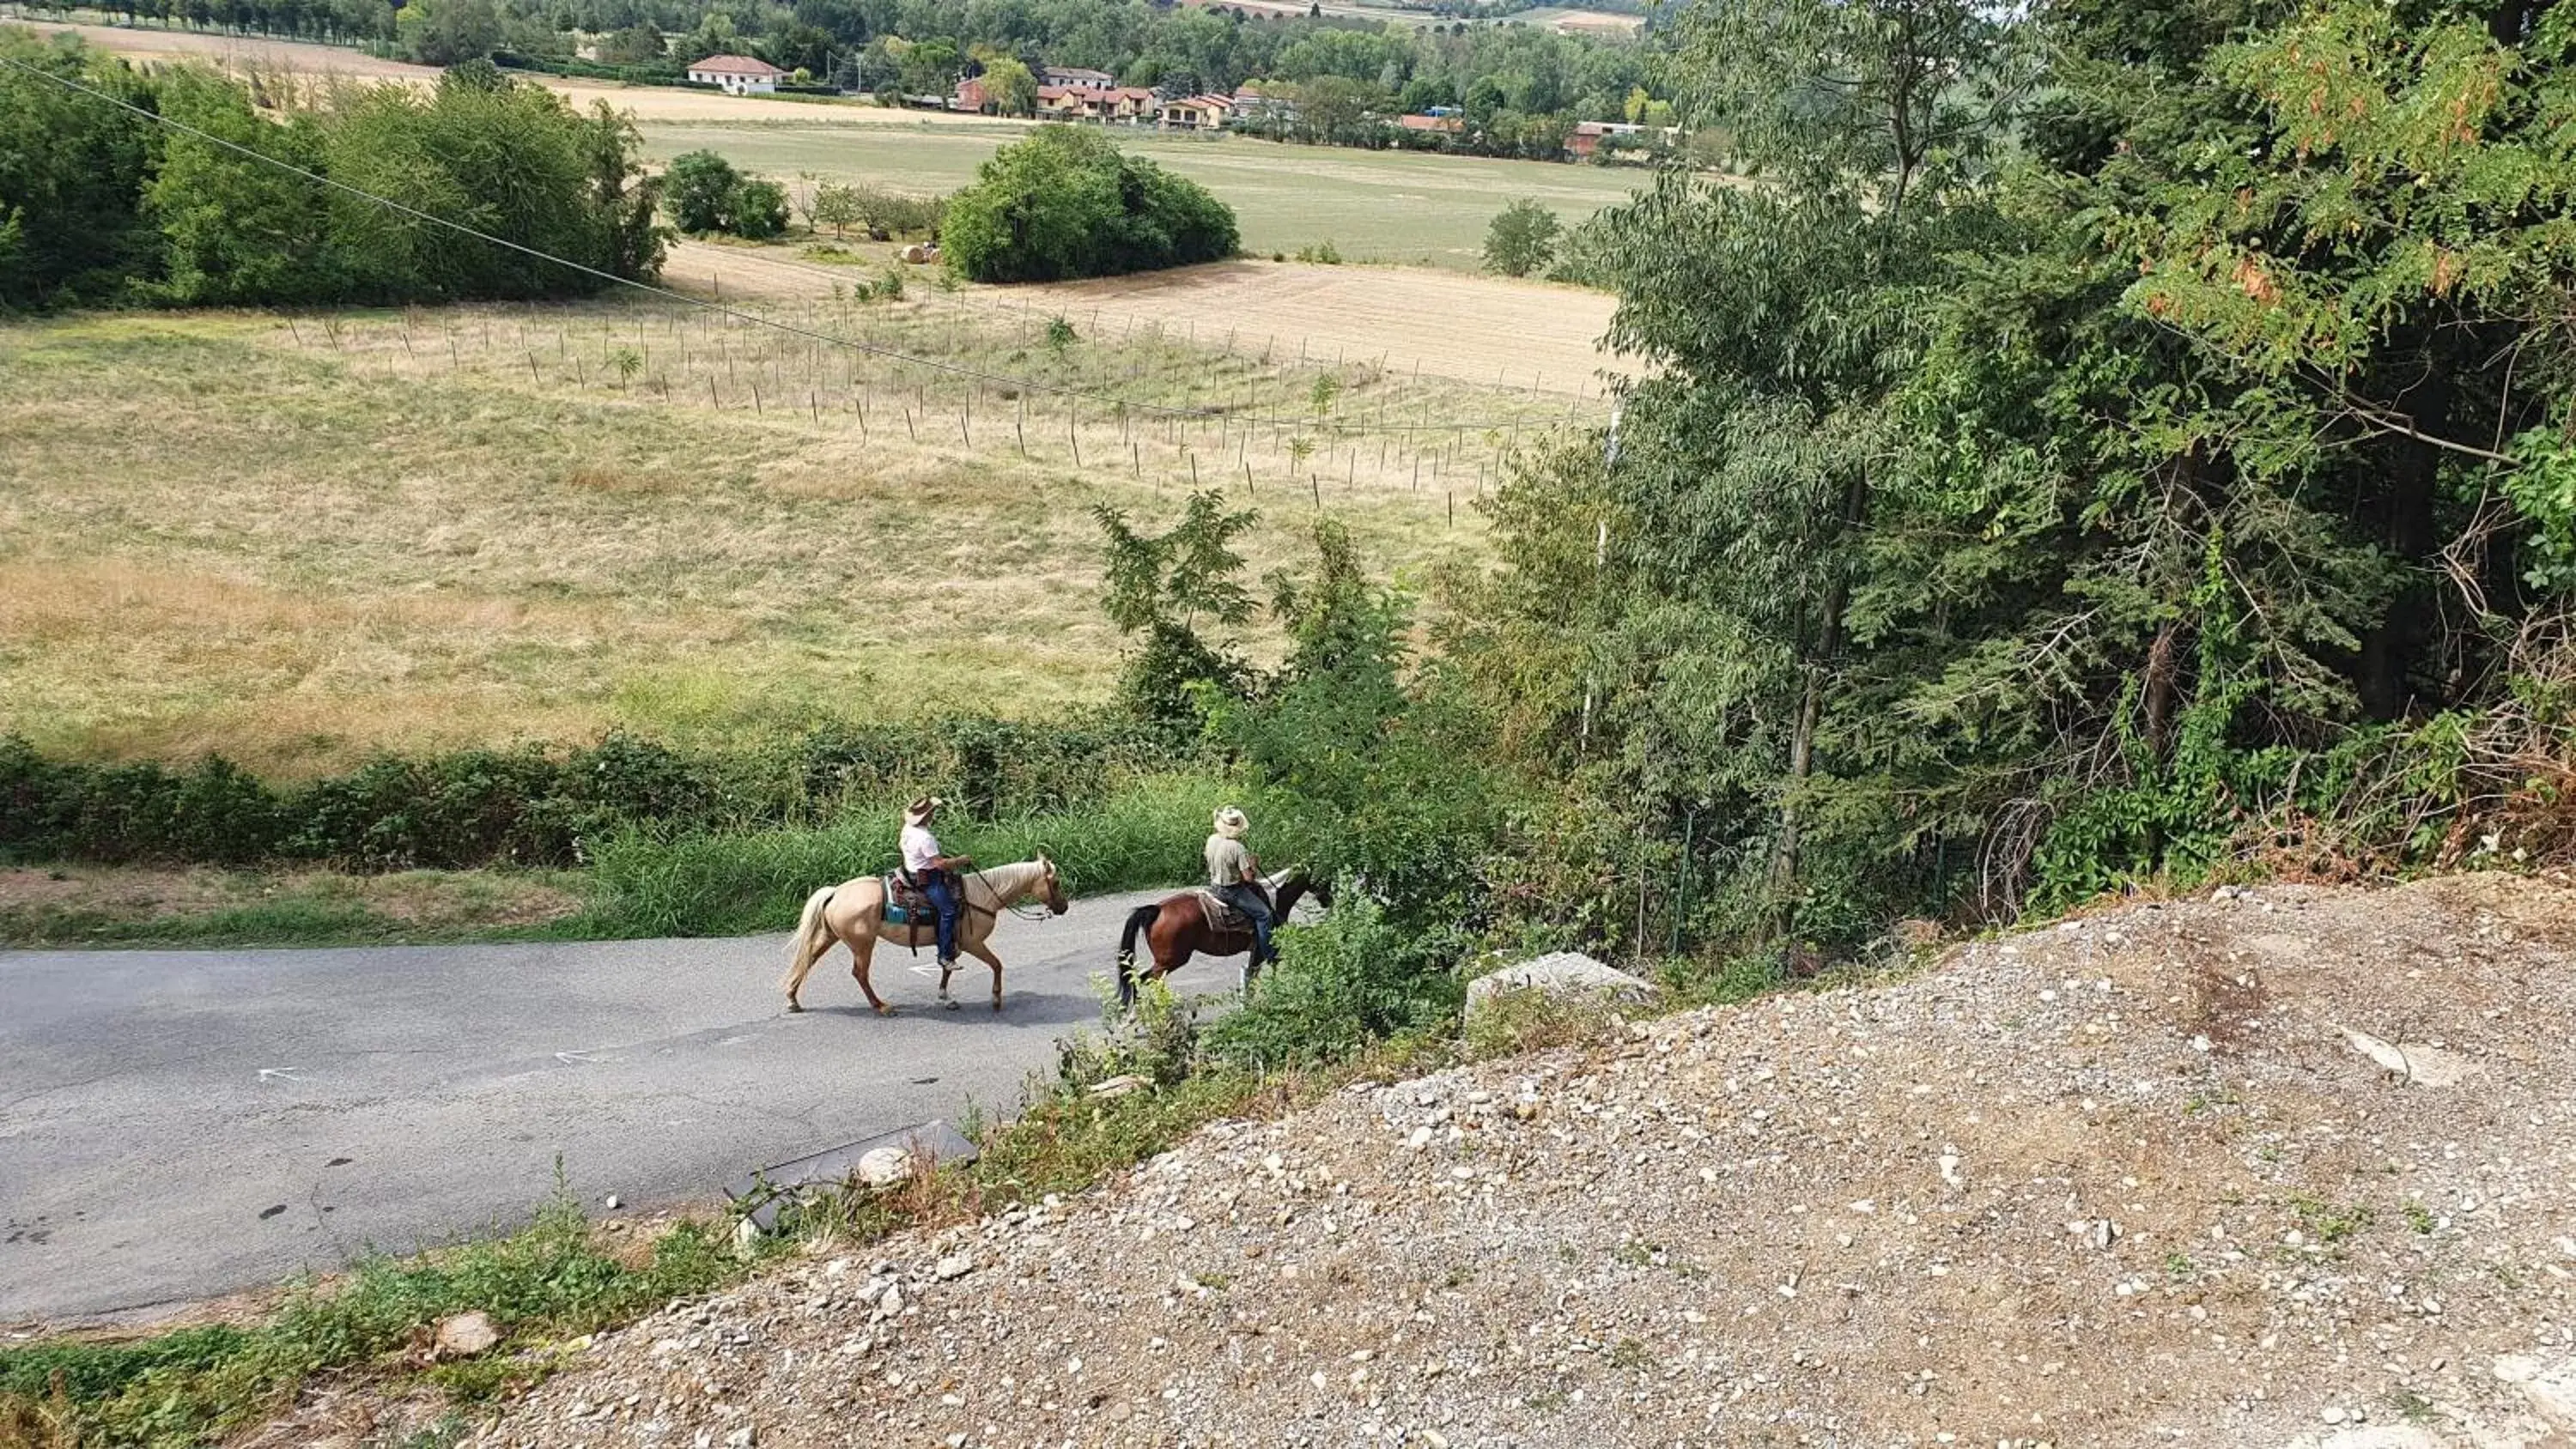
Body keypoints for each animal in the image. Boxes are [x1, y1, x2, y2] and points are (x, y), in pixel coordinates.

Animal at [783, 854, 1066, 1014]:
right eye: (1056, 882)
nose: (1063, 907)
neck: (982, 896)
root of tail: (835, 893)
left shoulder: (953, 943)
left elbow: (946, 966)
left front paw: (945, 997)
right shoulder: (973, 943)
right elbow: (996, 965)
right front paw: (996, 1000)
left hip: (830, 936)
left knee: (808, 960)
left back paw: (793, 1000)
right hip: (863, 944)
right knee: (859, 974)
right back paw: (882, 1007)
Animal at [1118, 875, 1340, 1009]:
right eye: (1326, 878)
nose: (1329, 900)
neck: (1275, 899)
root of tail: (1157, 909)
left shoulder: (1257, 953)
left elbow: (1251, 978)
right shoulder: (1264, 951)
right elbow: (1257, 976)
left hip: (1166, 962)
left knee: (1138, 978)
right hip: (1170, 960)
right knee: (1142, 979)